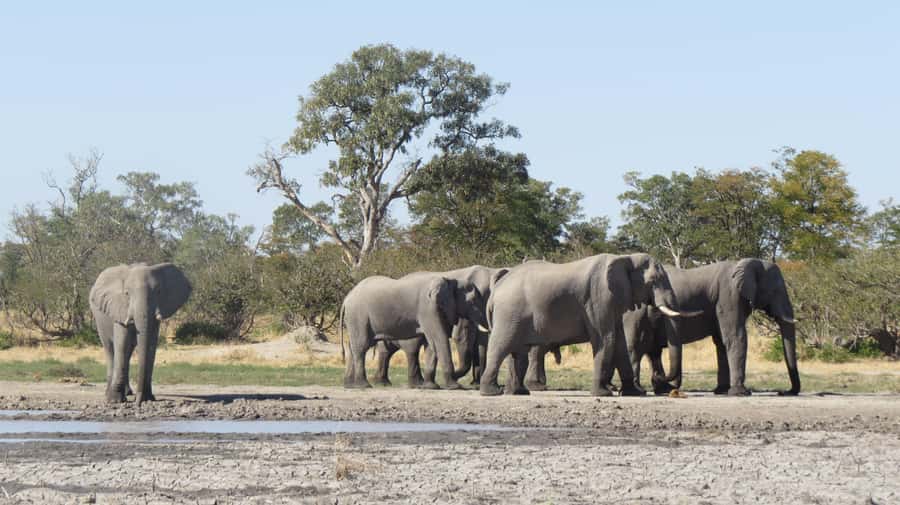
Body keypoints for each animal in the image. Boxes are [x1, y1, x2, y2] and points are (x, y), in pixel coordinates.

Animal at [89, 263, 191, 404]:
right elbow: (122, 344)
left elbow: (151, 345)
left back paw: (128, 392)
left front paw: (148, 398)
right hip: (99, 319)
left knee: (128, 351)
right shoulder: (119, 308)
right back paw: (109, 394)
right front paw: (115, 401)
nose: (138, 401)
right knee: (110, 349)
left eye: (158, 291)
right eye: (127, 293)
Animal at [340, 274, 486, 390]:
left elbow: (431, 344)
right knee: (361, 346)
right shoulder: (428, 308)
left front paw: (431, 387)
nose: (471, 385)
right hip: (358, 316)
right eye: (473, 301)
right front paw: (455, 387)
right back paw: (363, 385)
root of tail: (346, 299)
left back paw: (350, 386)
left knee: (354, 347)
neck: (450, 281)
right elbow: (439, 339)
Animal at [372, 265, 506, 388]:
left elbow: (481, 343)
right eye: (472, 301)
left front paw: (477, 385)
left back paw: (384, 383)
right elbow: (462, 337)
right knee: (411, 349)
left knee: (390, 350)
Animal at [480, 253, 693, 397]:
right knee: (500, 347)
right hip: (509, 313)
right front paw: (604, 394)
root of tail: (496, 290)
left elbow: (620, 343)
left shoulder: (612, 303)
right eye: (654, 281)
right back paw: (493, 392)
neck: (625, 258)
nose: (660, 380)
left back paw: (518, 392)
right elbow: (606, 340)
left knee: (519, 352)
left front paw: (633, 393)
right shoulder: (599, 297)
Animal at [629, 258, 801, 396]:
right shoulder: (729, 295)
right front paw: (740, 393)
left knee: (652, 352)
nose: (784, 392)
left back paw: (662, 389)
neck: (748, 262)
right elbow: (735, 336)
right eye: (775, 291)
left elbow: (722, 342)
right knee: (638, 347)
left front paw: (722, 391)